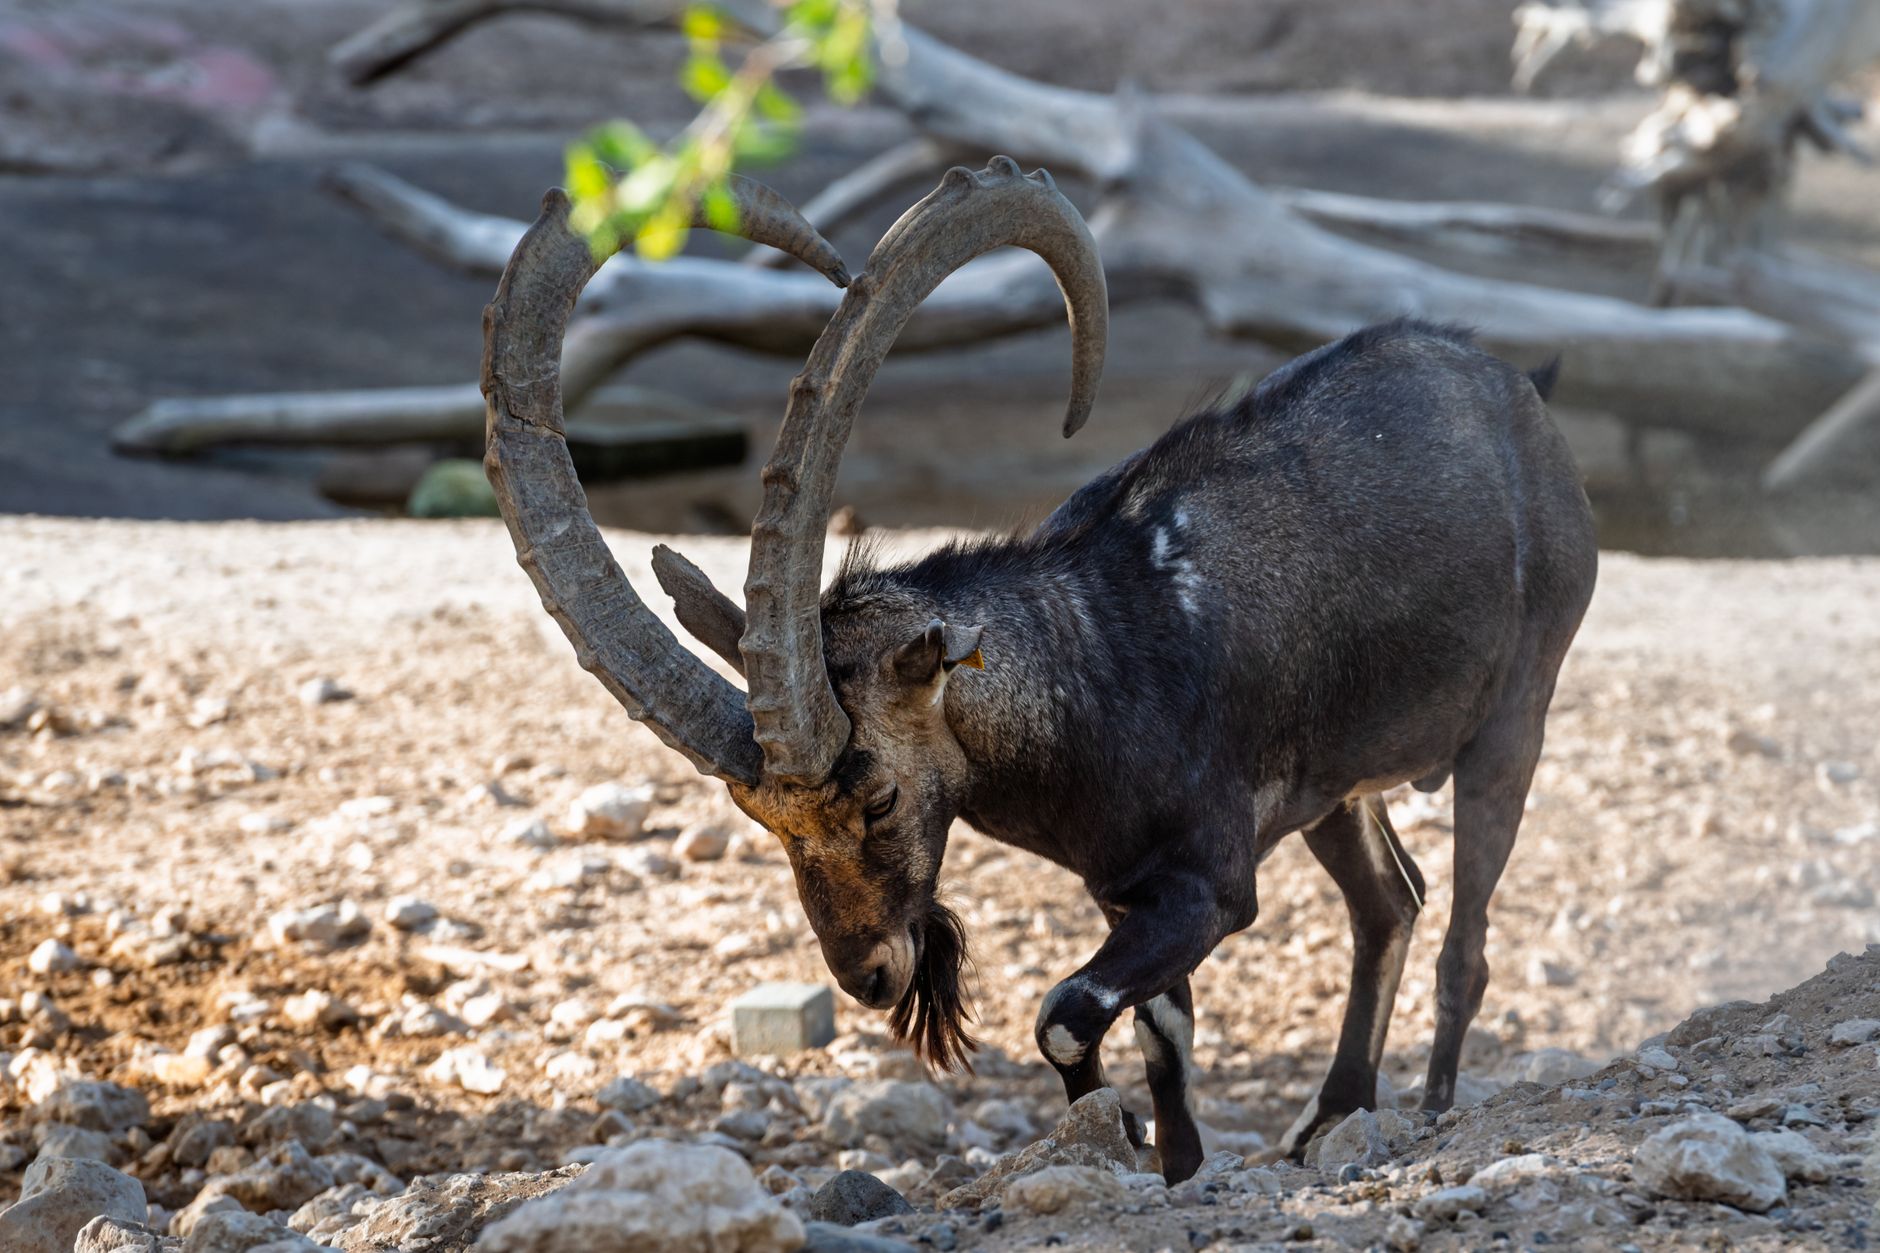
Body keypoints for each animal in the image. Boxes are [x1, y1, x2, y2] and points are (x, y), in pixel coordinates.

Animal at [481, 158, 1599, 1182]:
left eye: (879, 795)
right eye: (758, 815)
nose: (871, 975)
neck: (1090, 669)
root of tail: (1519, 393)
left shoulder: (1207, 885)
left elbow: (1065, 1012)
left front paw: (1127, 1136)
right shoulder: (1123, 889)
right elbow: (1163, 1035)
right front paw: (1169, 1162)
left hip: (1517, 713)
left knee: (1464, 938)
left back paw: (1433, 1108)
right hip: (1338, 788)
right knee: (1390, 901)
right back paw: (1333, 1114)